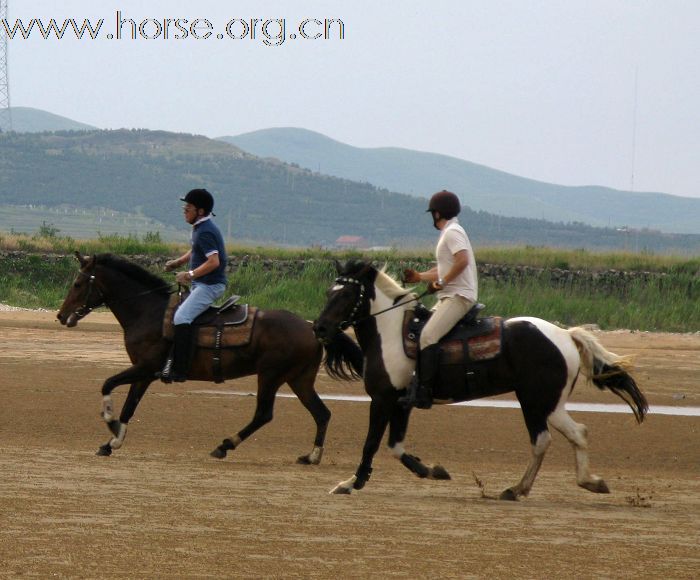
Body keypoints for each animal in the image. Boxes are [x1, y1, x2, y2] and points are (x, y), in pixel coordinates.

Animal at [56, 251, 360, 464]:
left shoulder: (144, 367)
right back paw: (312, 456)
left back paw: (225, 446)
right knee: (321, 413)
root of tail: (310, 327)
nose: (60, 315)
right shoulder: (144, 373)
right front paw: (112, 443)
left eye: (78, 283)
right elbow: (130, 406)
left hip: (271, 376)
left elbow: (108, 385)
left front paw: (110, 423)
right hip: (299, 379)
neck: (148, 313)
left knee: (264, 414)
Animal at [314, 260, 648, 500]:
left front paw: (350, 483)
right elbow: (395, 446)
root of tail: (566, 334)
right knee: (561, 436)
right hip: (542, 403)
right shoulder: (400, 403)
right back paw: (536, 487)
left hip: (540, 402)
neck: (393, 333)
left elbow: (371, 443)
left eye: (346, 294)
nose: (319, 328)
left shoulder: (383, 399)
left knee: (560, 436)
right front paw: (433, 470)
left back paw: (540, 486)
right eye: (329, 292)